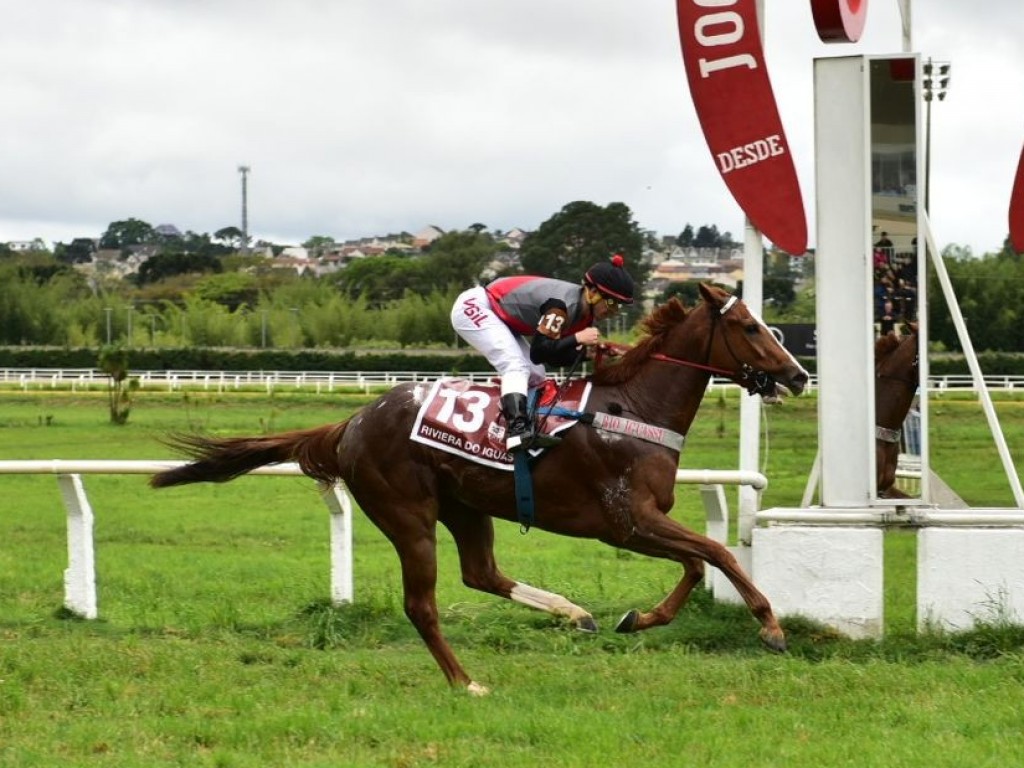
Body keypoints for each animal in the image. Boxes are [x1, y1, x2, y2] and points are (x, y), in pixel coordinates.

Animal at [149, 286, 806, 696]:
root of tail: (351, 422)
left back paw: (573, 613)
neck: (633, 407)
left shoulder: (639, 523)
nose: (798, 376)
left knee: (482, 573)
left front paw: (638, 618)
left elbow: (699, 564)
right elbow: (716, 554)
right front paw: (771, 628)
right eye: (749, 327)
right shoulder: (626, 520)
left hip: (467, 508)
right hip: (409, 517)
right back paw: (466, 681)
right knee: (423, 605)